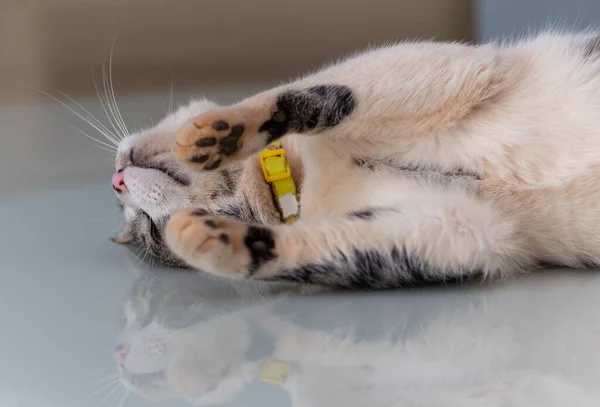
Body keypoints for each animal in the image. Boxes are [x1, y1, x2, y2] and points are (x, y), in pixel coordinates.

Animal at [113, 32, 600, 290]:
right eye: (148, 230)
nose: (116, 181)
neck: (303, 181)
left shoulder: (445, 70)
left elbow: (307, 93)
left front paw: (219, 133)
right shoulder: (474, 227)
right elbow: (331, 246)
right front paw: (215, 239)